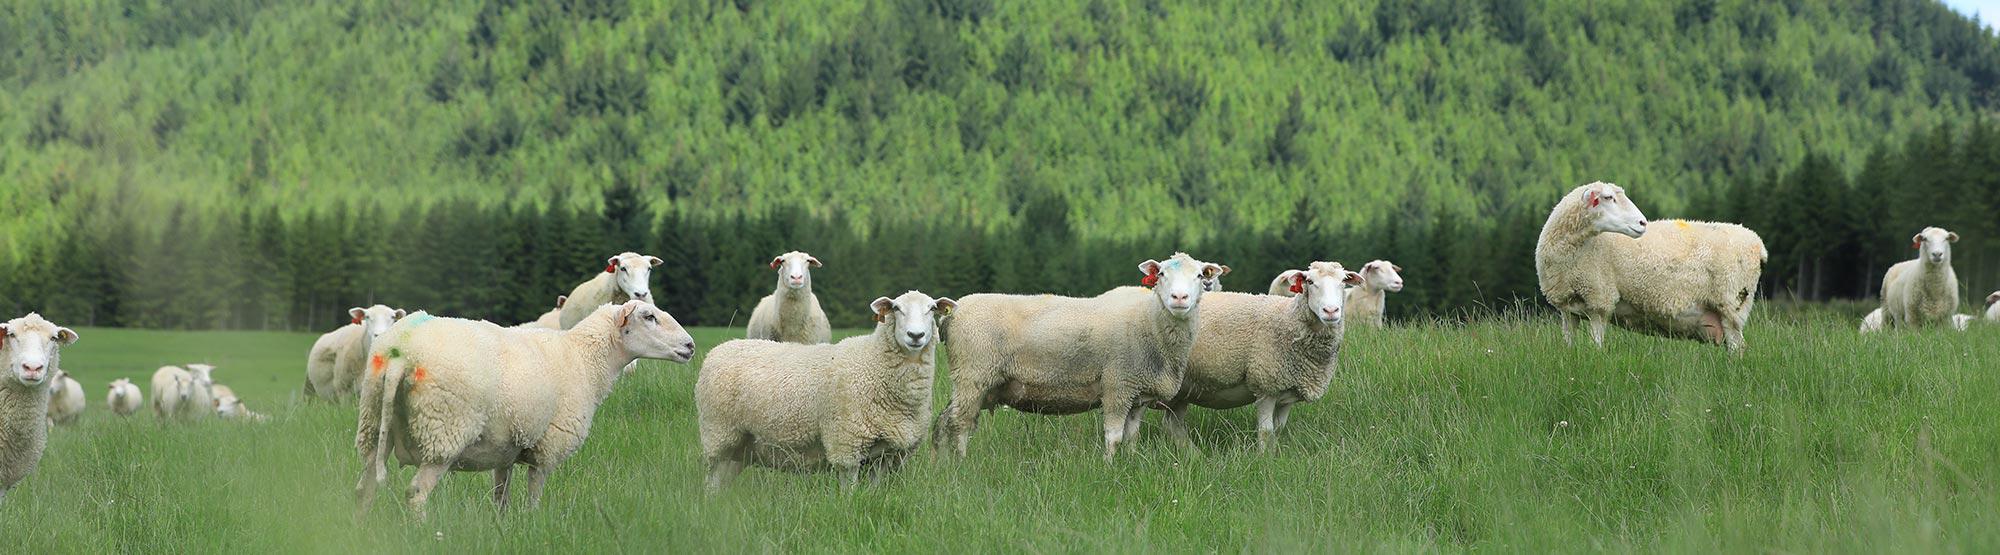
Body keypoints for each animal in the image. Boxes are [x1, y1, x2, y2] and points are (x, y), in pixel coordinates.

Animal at [353, 300, 696, 520]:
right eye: (649, 316)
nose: (691, 346)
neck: (585, 359)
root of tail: (402, 352)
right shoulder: (549, 445)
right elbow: (534, 496)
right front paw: (532, 525)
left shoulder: (504, 448)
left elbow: (500, 497)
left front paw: (501, 527)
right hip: (445, 429)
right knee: (416, 493)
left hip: (372, 420)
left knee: (365, 486)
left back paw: (362, 529)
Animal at [699, 291, 955, 492]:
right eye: (897, 308)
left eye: (932, 308)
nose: (916, 336)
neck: (873, 362)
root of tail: (718, 350)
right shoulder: (846, 444)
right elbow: (849, 490)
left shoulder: (887, 454)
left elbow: (875, 491)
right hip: (719, 434)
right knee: (712, 482)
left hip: (741, 445)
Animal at [937, 252, 1227, 462]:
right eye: (1162, 274)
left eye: (1199, 276)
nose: (1180, 297)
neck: (1150, 321)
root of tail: (955, 312)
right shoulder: (1117, 385)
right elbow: (1114, 437)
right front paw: (1109, 467)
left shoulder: (1137, 393)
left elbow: (1132, 436)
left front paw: (1132, 463)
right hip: (973, 375)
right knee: (959, 423)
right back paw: (961, 463)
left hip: (977, 382)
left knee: (946, 420)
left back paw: (939, 461)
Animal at [1162, 262, 1361, 452]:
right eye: (1310, 282)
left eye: (1344, 281)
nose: (1331, 310)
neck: (1288, 319)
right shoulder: (1266, 386)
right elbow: (1266, 431)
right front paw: (1264, 458)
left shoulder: (1288, 392)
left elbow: (1278, 429)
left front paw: (1273, 455)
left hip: (1179, 390)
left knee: (1173, 425)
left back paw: (1193, 454)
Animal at [1535, 181, 1767, 353]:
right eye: (1608, 198)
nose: (1642, 223)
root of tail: (1757, 243)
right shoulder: (1567, 307)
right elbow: (1568, 344)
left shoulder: (1599, 301)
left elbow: (1597, 345)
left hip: (1732, 305)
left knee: (1738, 347)